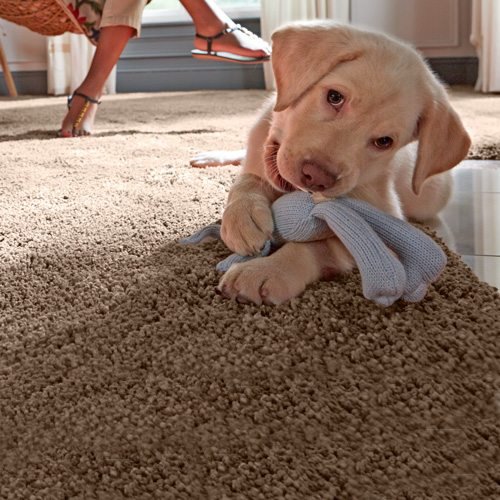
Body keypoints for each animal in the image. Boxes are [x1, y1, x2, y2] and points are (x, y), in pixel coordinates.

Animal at [192, 21, 471, 305]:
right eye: (335, 97)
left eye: (384, 141)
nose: (316, 177)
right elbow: (248, 180)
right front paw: (243, 216)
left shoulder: (385, 223)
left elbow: (320, 245)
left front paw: (267, 270)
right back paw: (213, 156)